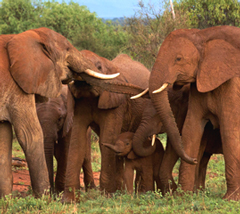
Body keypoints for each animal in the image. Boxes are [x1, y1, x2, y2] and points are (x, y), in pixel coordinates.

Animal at [0, 26, 118, 197]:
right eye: (67, 48)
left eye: (61, 119)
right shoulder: (17, 86)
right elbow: (30, 134)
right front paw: (44, 198)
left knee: (86, 156)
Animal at [148, 25, 240, 201]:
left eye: (178, 59)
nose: (194, 159)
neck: (203, 35)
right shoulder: (198, 83)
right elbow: (191, 127)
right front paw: (183, 196)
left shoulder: (232, 84)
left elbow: (229, 130)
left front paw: (231, 198)